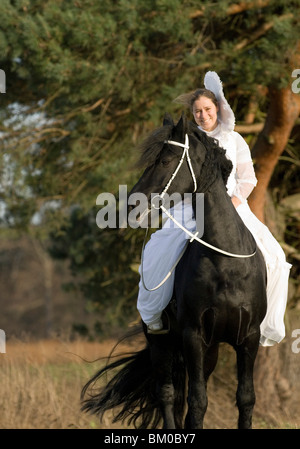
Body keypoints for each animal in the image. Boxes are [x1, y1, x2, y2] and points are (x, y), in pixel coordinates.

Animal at [80, 114, 268, 428]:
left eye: (165, 160)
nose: (132, 204)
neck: (225, 264)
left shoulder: (248, 339)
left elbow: (245, 399)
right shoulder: (193, 336)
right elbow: (197, 402)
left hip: (210, 350)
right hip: (162, 344)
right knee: (167, 395)